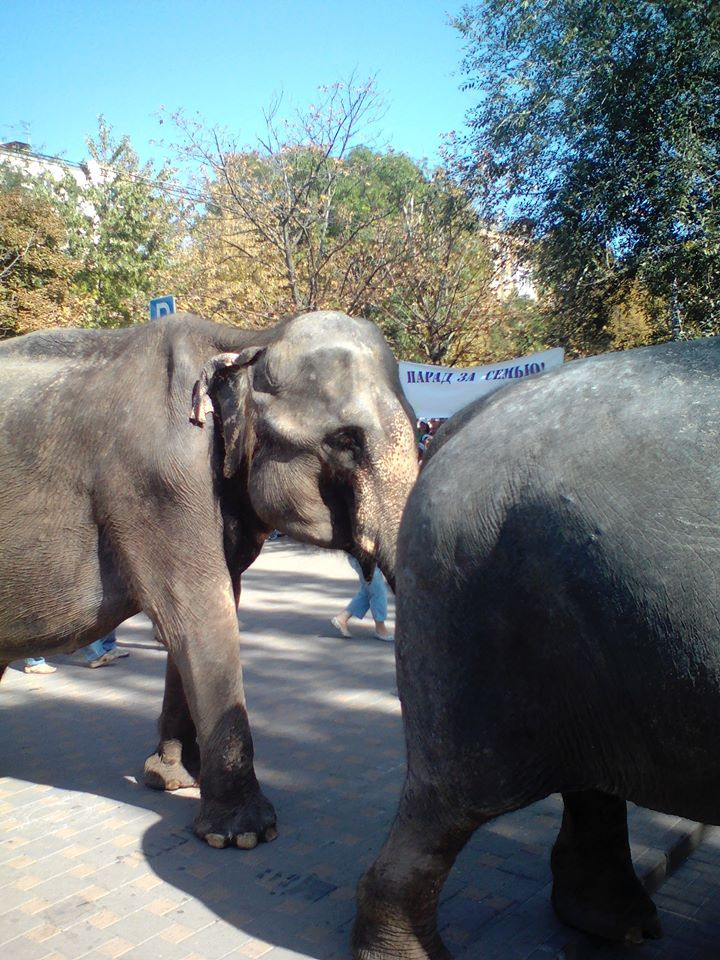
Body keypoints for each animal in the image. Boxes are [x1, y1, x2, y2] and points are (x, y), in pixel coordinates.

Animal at [0, 308, 416, 848]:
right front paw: (243, 834)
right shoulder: (157, 485)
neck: (248, 340)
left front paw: (171, 778)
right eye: (345, 440)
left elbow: (209, 611)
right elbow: (199, 615)